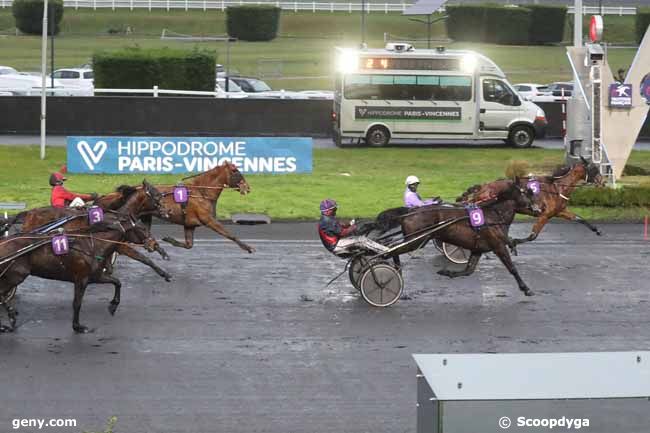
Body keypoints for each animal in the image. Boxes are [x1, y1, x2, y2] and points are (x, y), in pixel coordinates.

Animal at [0, 218, 171, 332]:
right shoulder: (81, 279)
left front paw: (113, 306)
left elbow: (117, 282)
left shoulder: (95, 276)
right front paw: (77, 326)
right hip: (16, 275)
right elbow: (77, 303)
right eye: (143, 229)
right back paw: (10, 317)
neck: (92, 246)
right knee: (2, 294)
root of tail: (4, 242)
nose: (155, 244)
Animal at [456, 158, 604, 246]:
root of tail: (484, 186)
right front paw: (515, 241)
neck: (557, 188)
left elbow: (579, 219)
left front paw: (597, 230)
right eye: (593, 169)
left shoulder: (559, 211)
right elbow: (533, 235)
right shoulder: (545, 215)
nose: (602, 181)